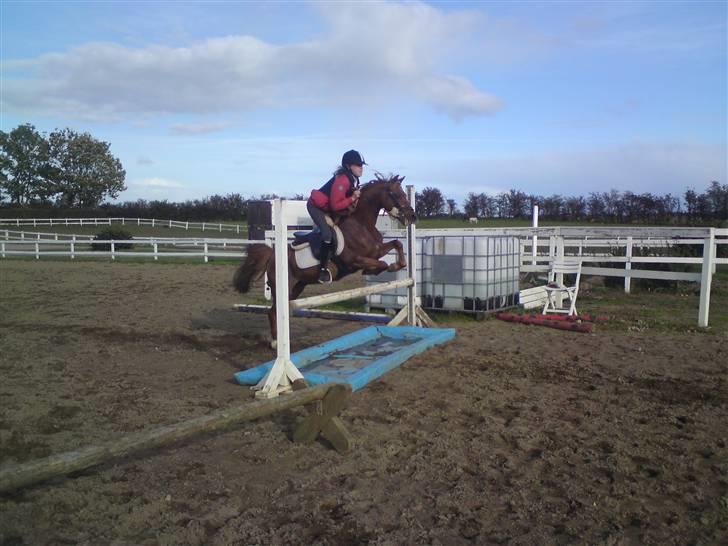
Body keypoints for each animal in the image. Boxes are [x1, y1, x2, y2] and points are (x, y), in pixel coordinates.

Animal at [233, 174, 416, 344]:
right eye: (397, 194)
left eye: (404, 193)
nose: (412, 217)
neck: (362, 224)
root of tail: (272, 255)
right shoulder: (354, 260)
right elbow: (382, 263)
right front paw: (376, 269)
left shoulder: (375, 251)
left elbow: (397, 244)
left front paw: (398, 264)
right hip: (283, 287)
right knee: (273, 312)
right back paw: (276, 342)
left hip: (297, 287)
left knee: (278, 311)